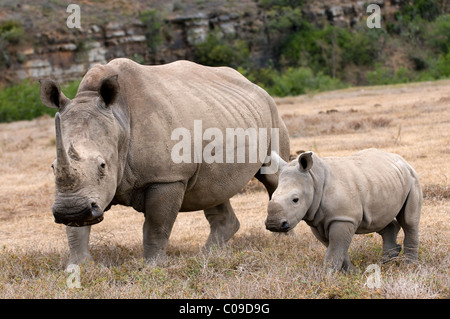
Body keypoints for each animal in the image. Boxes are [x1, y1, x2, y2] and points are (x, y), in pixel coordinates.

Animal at [40, 58, 290, 266]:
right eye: (52, 167)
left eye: (103, 166)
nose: (70, 211)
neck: (119, 121)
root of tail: (254, 85)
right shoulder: (82, 194)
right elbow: (76, 232)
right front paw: (78, 267)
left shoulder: (167, 177)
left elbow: (156, 226)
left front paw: (152, 267)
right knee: (211, 189)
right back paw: (205, 256)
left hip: (273, 114)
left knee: (273, 177)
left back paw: (284, 242)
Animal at [266, 149, 420, 272]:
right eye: (271, 197)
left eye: (295, 200)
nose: (273, 224)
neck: (314, 180)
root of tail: (403, 161)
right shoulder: (317, 221)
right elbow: (336, 248)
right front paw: (352, 273)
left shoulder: (342, 218)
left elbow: (335, 250)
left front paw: (327, 277)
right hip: (382, 180)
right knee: (378, 220)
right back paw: (387, 262)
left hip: (412, 178)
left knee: (409, 221)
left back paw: (409, 266)